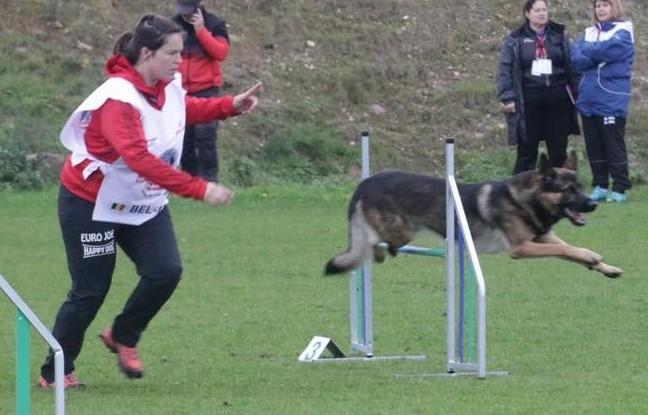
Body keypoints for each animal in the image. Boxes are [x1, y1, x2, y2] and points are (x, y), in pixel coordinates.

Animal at [326, 156, 624, 280]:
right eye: (569, 190)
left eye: (581, 187)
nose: (593, 204)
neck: (523, 199)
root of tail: (366, 182)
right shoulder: (522, 247)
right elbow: (564, 249)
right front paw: (592, 257)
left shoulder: (542, 236)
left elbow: (569, 249)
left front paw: (604, 266)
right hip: (401, 232)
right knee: (371, 244)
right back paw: (376, 254)